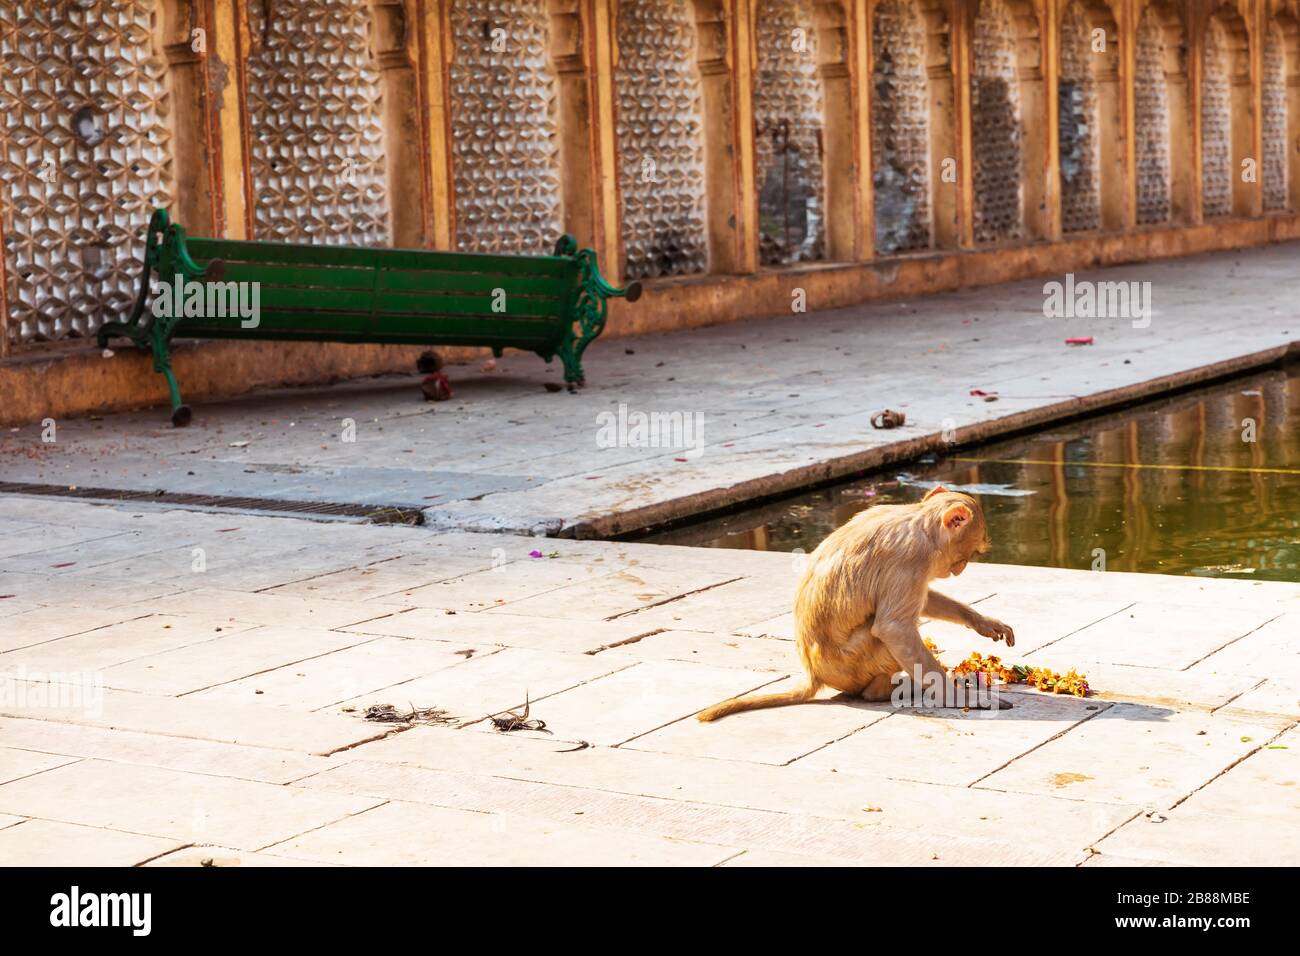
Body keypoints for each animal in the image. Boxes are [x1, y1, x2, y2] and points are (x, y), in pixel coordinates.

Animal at [697, 485, 1015, 721]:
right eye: (971, 553)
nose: (960, 569)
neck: (918, 520)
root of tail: (814, 672)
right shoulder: (912, 558)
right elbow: (893, 628)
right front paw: (957, 696)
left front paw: (981, 621)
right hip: (854, 663)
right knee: (884, 638)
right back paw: (888, 691)